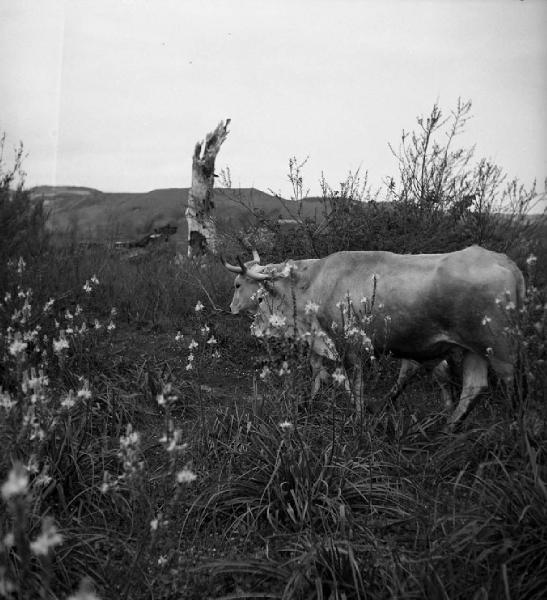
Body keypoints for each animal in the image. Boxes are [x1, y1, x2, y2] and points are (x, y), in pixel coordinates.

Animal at [224, 246, 528, 428]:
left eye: (239, 285)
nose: (232, 309)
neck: (314, 283)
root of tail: (505, 261)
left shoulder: (350, 343)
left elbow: (352, 380)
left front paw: (357, 417)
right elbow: (322, 372)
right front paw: (309, 403)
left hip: (500, 349)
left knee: (512, 389)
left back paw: (514, 430)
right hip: (474, 351)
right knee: (474, 387)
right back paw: (448, 428)